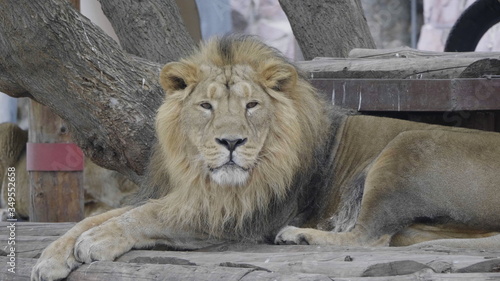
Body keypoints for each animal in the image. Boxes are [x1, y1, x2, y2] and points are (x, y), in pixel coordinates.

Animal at [31, 35, 500, 280]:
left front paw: (97, 243)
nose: (231, 142)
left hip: (406, 145)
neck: (204, 176)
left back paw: (300, 236)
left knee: (368, 237)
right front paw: (51, 257)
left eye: (252, 105)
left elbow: (144, 217)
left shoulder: (237, 215)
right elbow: (95, 217)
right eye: (206, 106)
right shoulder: (187, 194)